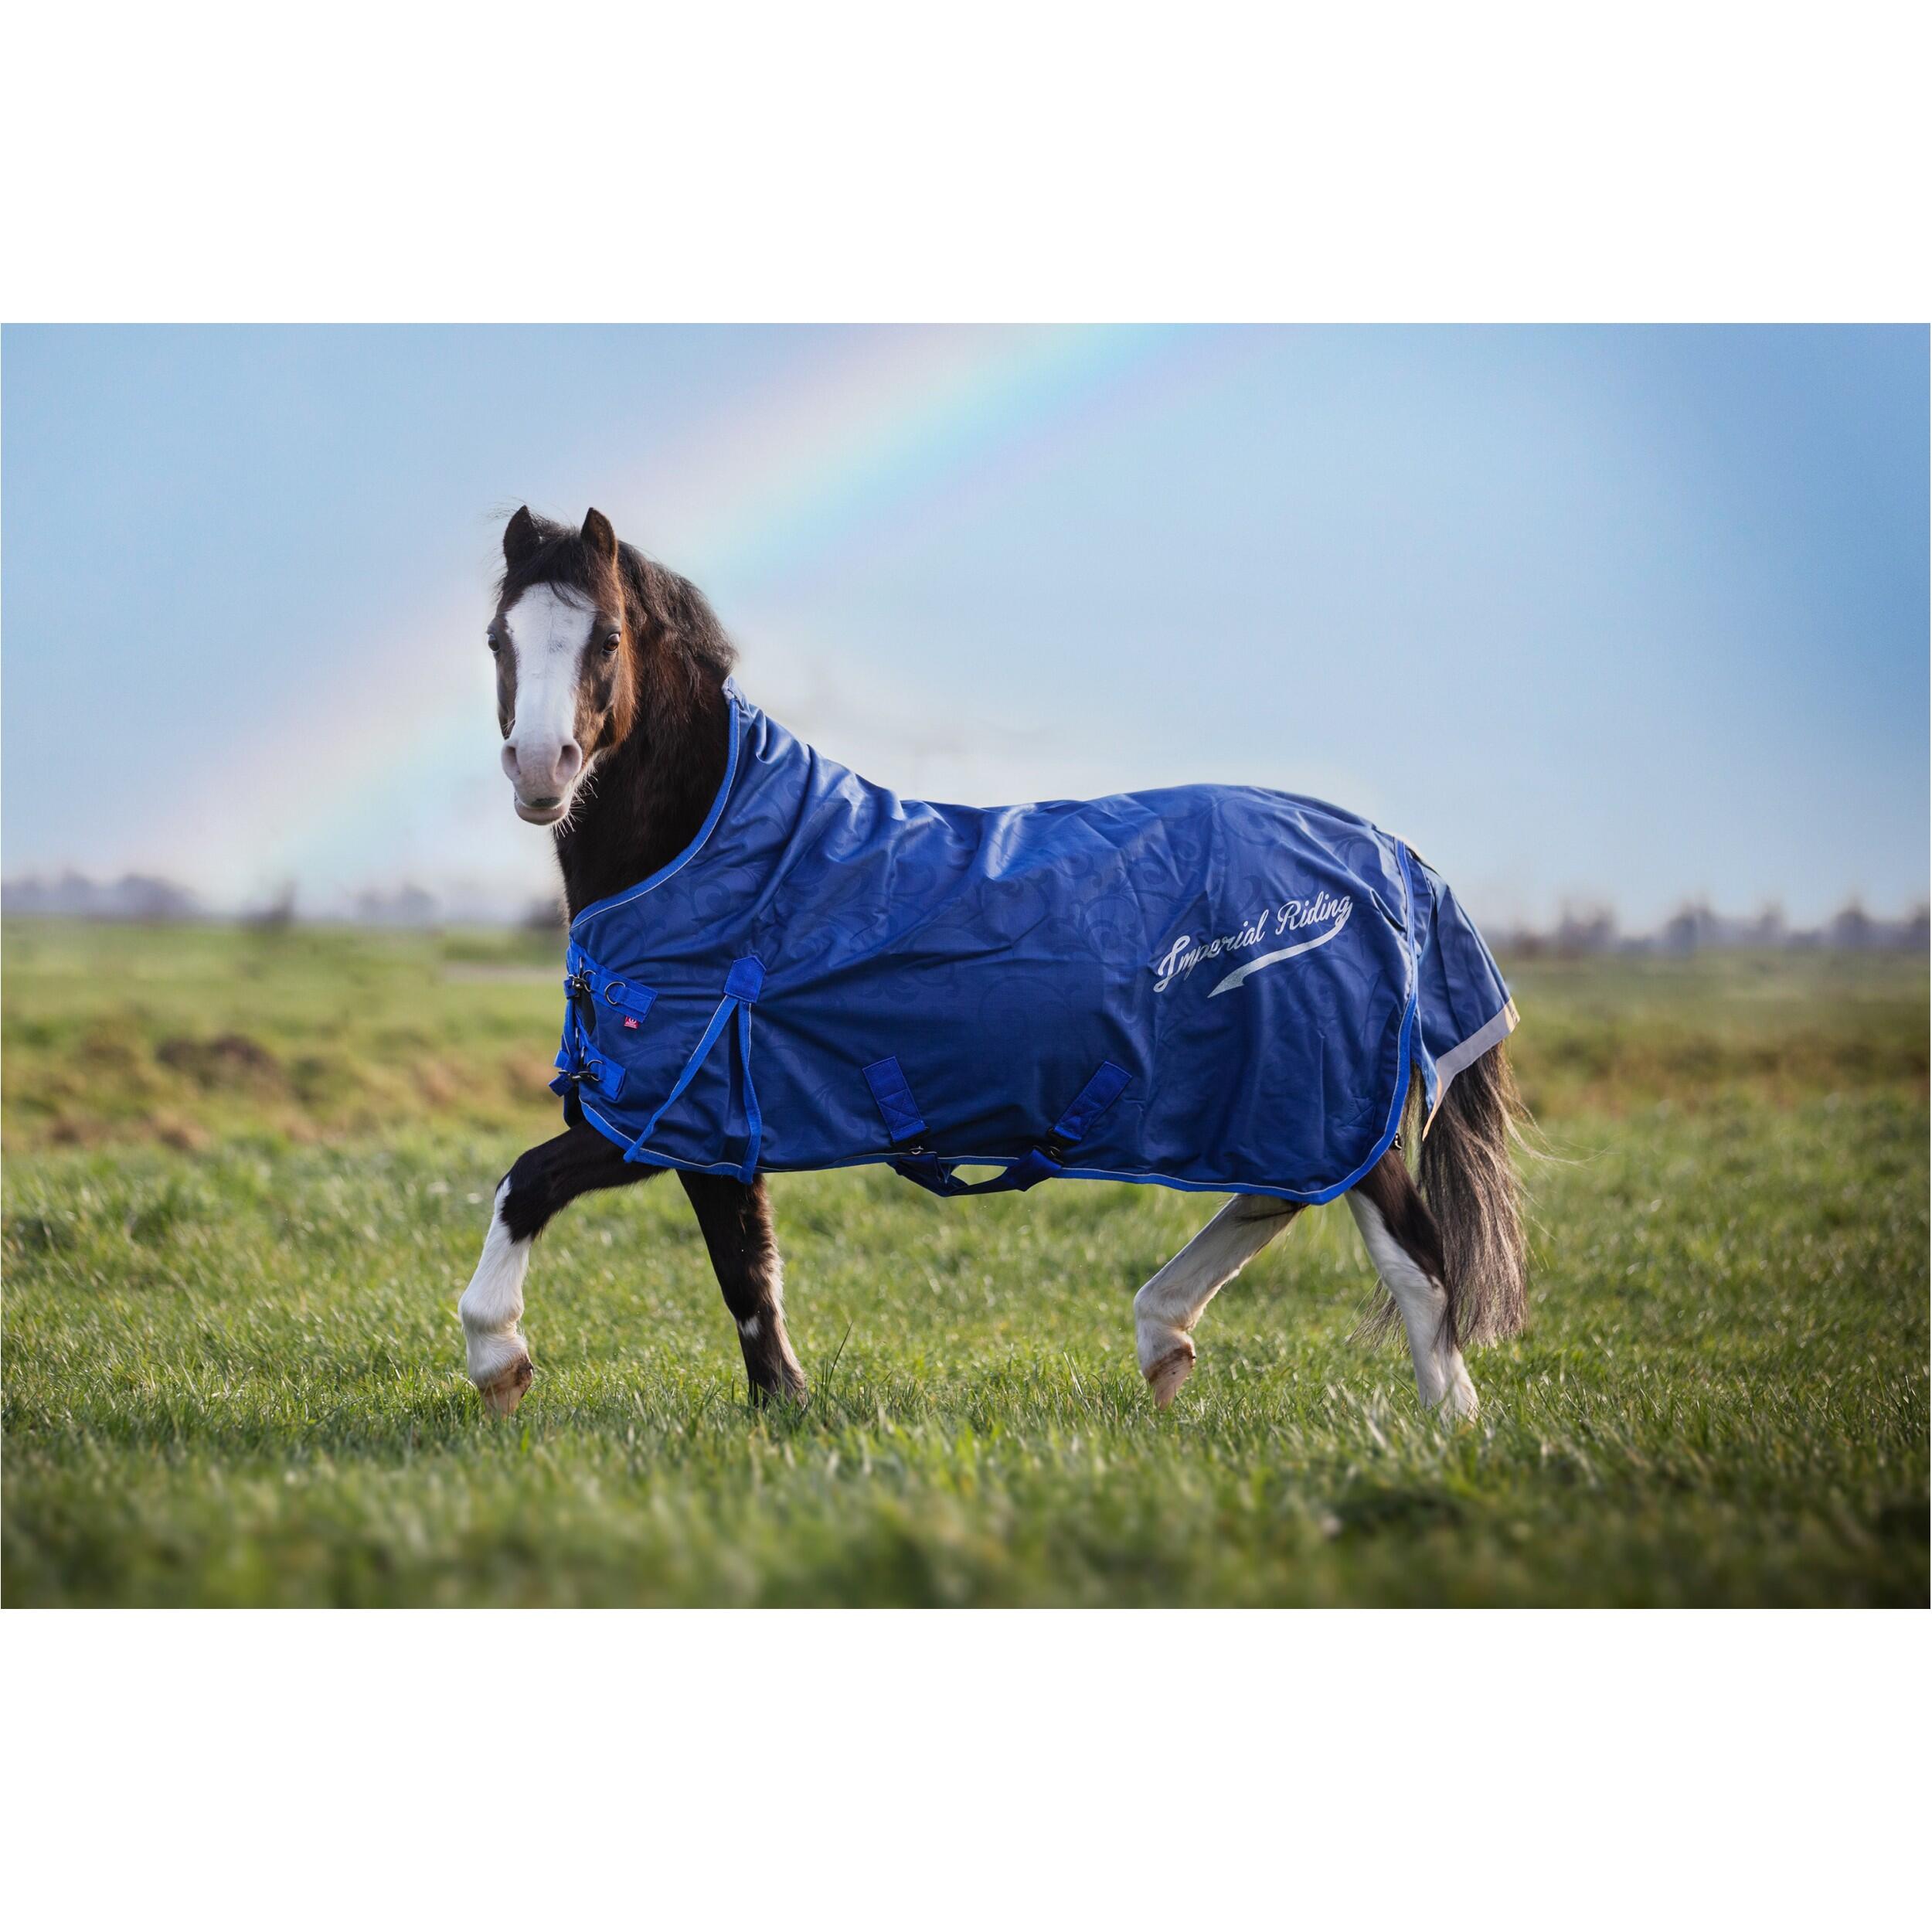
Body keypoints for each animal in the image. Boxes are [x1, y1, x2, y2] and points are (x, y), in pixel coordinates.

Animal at [458, 505, 1529, 1421]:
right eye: (499, 640)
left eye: (605, 639)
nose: (542, 769)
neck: (721, 853)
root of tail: (1390, 857)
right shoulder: (715, 1128)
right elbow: (746, 1271)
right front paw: (782, 1404)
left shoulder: (666, 1113)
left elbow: (531, 1184)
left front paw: (498, 1356)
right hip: (1281, 1098)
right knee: (1278, 1198)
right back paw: (1164, 1338)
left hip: (1330, 1097)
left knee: (1416, 1259)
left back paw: (1451, 1425)